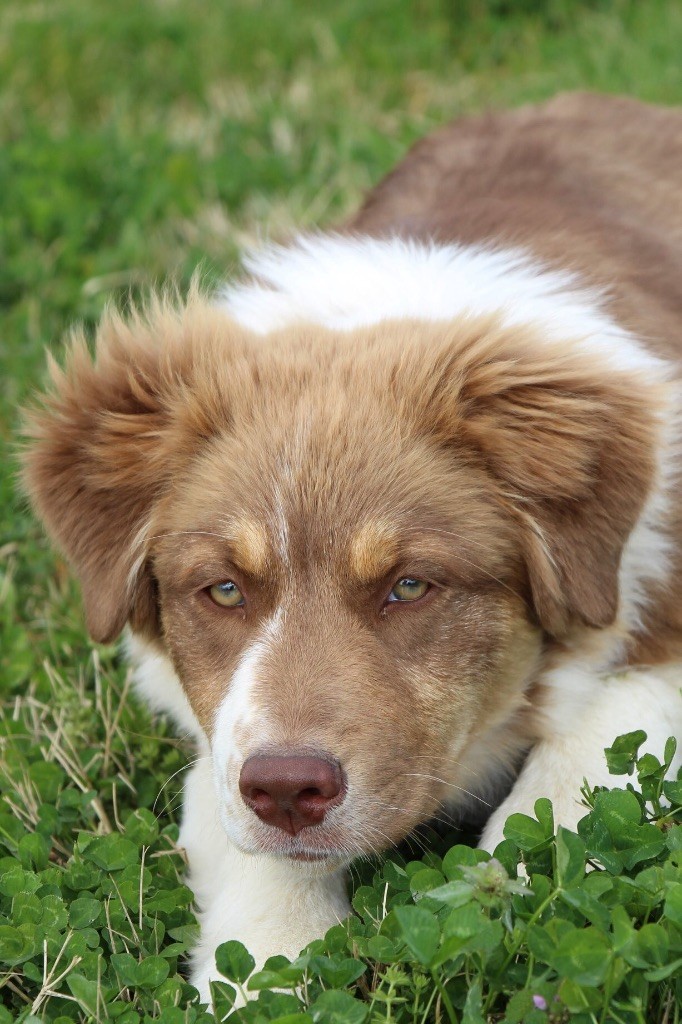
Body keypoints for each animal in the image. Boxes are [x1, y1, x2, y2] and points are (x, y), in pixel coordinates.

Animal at [21, 92, 679, 995]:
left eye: (410, 586)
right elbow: (246, 846)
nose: (287, 791)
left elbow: (575, 772)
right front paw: (268, 970)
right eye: (223, 589)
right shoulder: (224, 748)